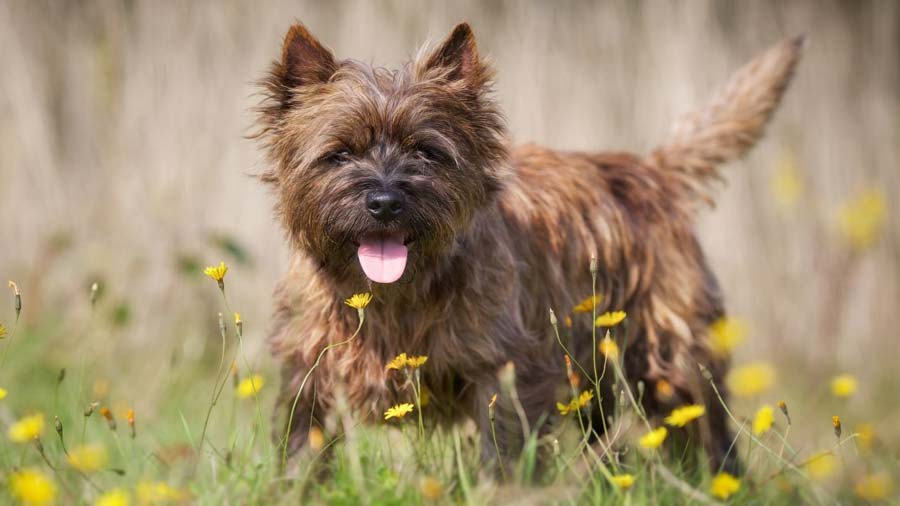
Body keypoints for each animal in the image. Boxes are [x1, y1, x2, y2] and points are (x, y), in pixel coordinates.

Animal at [253, 21, 800, 472]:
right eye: (339, 153)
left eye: (426, 151)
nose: (385, 201)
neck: (394, 295)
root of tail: (653, 171)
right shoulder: (309, 370)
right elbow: (301, 450)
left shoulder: (505, 372)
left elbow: (501, 454)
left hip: (670, 361)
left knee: (708, 437)